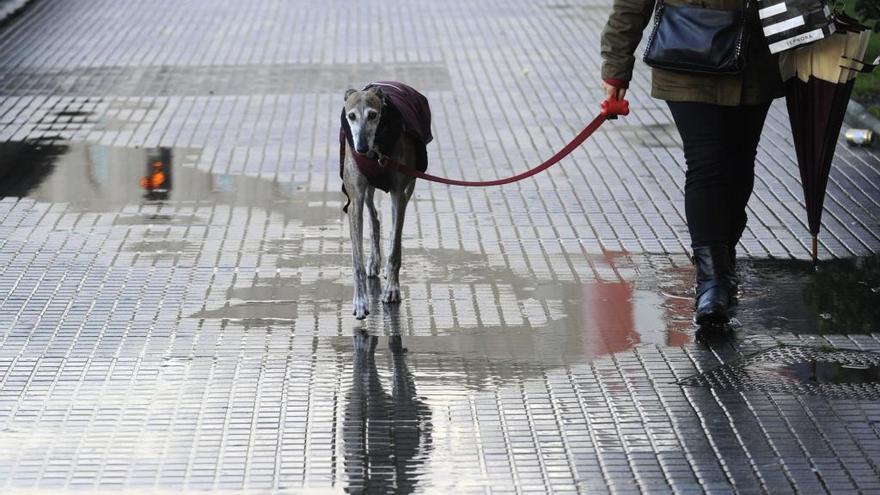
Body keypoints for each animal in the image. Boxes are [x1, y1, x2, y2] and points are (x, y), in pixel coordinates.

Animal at [338, 83, 432, 320]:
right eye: (351, 116)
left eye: (373, 115)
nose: (361, 148)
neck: (375, 151)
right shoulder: (355, 199)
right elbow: (357, 261)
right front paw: (360, 302)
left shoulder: (398, 192)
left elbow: (395, 250)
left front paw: (392, 290)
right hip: (367, 191)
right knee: (374, 217)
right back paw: (373, 260)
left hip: (410, 184)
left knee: (393, 224)